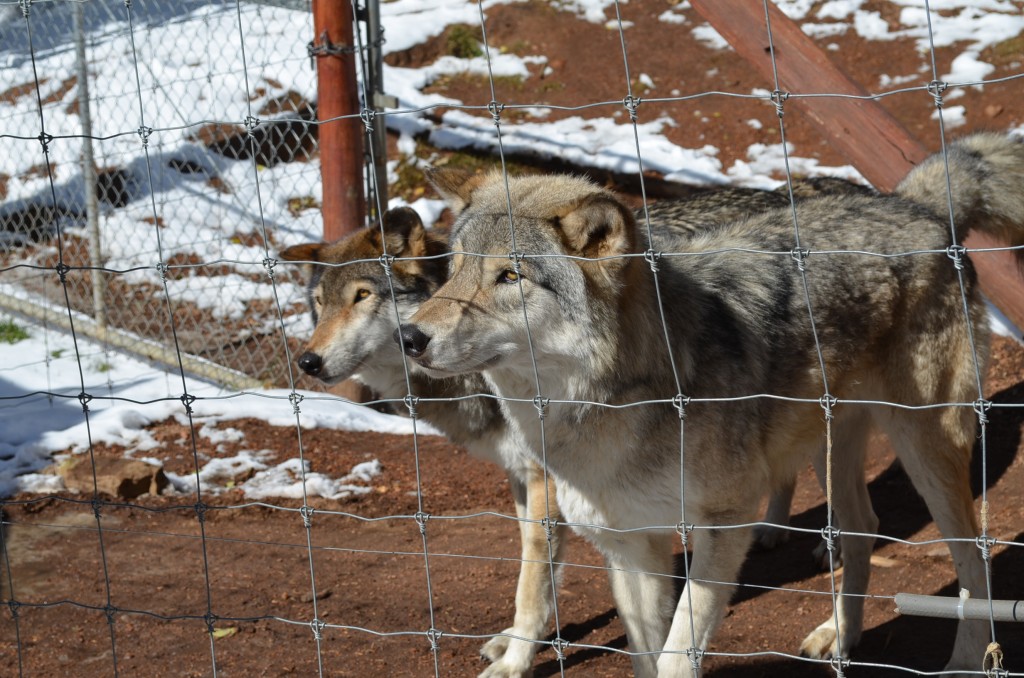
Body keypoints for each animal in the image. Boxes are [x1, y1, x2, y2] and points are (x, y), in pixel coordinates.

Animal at [397, 134, 1024, 678]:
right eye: (454, 270)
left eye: (510, 275)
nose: (409, 336)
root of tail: (915, 202)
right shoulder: (630, 545)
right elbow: (646, 657)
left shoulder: (724, 526)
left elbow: (677, 655)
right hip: (830, 449)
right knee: (862, 528)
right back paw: (840, 639)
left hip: (928, 449)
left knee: (973, 560)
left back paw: (963, 663)